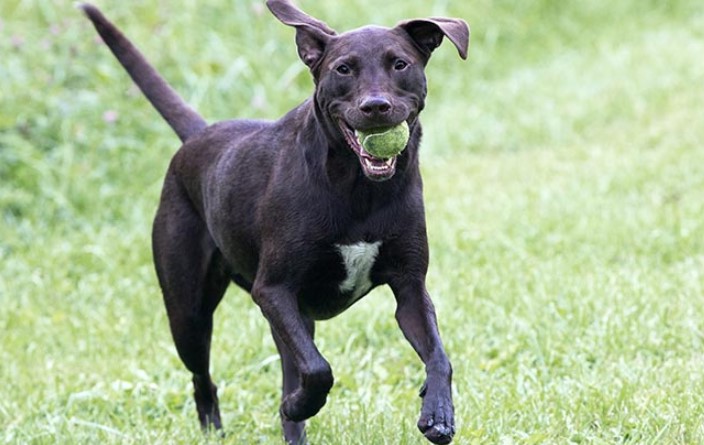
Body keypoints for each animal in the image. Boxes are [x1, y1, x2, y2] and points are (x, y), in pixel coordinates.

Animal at [80, 1, 468, 442]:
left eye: (400, 64)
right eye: (343, 69)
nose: (376, 106)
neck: (358, 189)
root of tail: (197, 136)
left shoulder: (409, 286)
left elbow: (439, 355)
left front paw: (438, 412)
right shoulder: (274, 290)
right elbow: (318, 369)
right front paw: (299, 404)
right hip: (188, 311)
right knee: (203, 376)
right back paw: (221, 426)